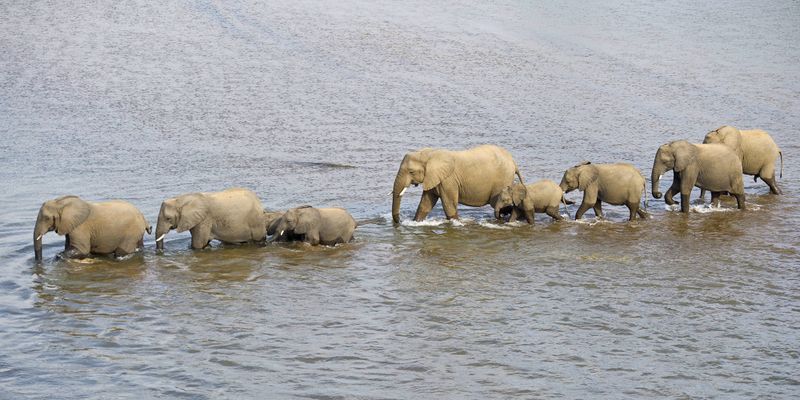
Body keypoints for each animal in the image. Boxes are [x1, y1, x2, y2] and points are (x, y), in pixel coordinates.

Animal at [391, 144, 524, 223]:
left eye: (411, 172)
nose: (399, 222)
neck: (431, 154)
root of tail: (513, 161)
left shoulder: (448, 181)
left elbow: (449, 205)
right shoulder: (434, 179)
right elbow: (426, 204)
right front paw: (416, 222)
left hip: (503, 179)